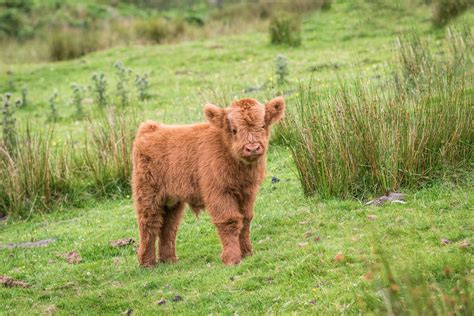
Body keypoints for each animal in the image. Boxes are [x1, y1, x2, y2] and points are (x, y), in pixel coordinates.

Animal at [131, 96, 284, 266]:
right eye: (234, 130)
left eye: (263, 125)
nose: (252, 148)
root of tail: (151, 128)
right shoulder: (219, 193)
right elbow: (229, 221)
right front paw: (232, 258)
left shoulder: (247, 193)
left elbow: (245, 220)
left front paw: (247, 253)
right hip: (147, 195)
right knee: (149, 224)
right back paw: (147, 263)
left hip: (172, 200)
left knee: (168, 226)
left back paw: (169, 260)